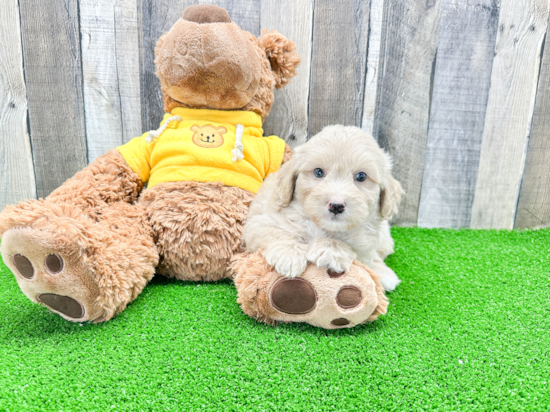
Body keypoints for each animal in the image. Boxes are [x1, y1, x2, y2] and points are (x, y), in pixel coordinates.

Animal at [245, 124, 406, 292]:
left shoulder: (365, 246)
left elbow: (352, 249)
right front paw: (289, 254)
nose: (336, 205)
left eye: (361, 176)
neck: (323, 226)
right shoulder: (259, 222)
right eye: (318, 172)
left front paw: (331, 250)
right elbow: (276, 232)